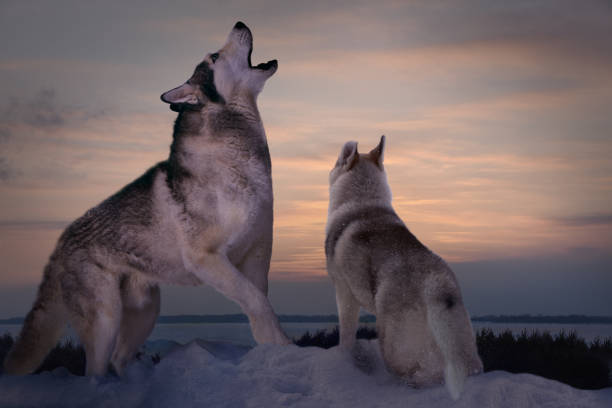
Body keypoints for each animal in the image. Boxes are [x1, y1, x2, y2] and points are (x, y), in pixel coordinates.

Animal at [2, 22, 290, 378]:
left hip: (146, 312)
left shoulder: (257, 254)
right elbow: (258, 303)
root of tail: (60, 241)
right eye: (215, 56)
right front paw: (283, 346)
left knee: (118, 359)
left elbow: (260, 304)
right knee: (96, 370)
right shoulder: (207, 259)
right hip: (105, 321)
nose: (239, 23)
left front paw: (273, 350)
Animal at [326, 136, 482, 398]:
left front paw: (341, 357)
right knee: (467, 366)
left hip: (391, 340)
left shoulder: (343, 292)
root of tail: (437, 279)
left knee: (419, 371)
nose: (329, 170)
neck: (363, 199)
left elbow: (345, 335)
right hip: (455, 334)